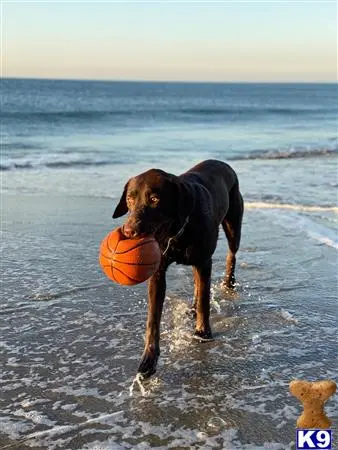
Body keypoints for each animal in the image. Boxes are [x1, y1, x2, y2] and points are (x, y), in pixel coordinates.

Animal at [113, 160, 243, 378]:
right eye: (130, 199)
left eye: (154, 199)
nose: (129, 232)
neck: (176, 231)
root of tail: (223, 164)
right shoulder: (158, 273)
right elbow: (153, 319)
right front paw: (149, 358)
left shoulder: (205, 261)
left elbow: (205, 302)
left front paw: (203, 332)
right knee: (197, 281)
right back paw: (192, 306)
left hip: (234, 226)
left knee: (231, 254)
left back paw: (228, 282)